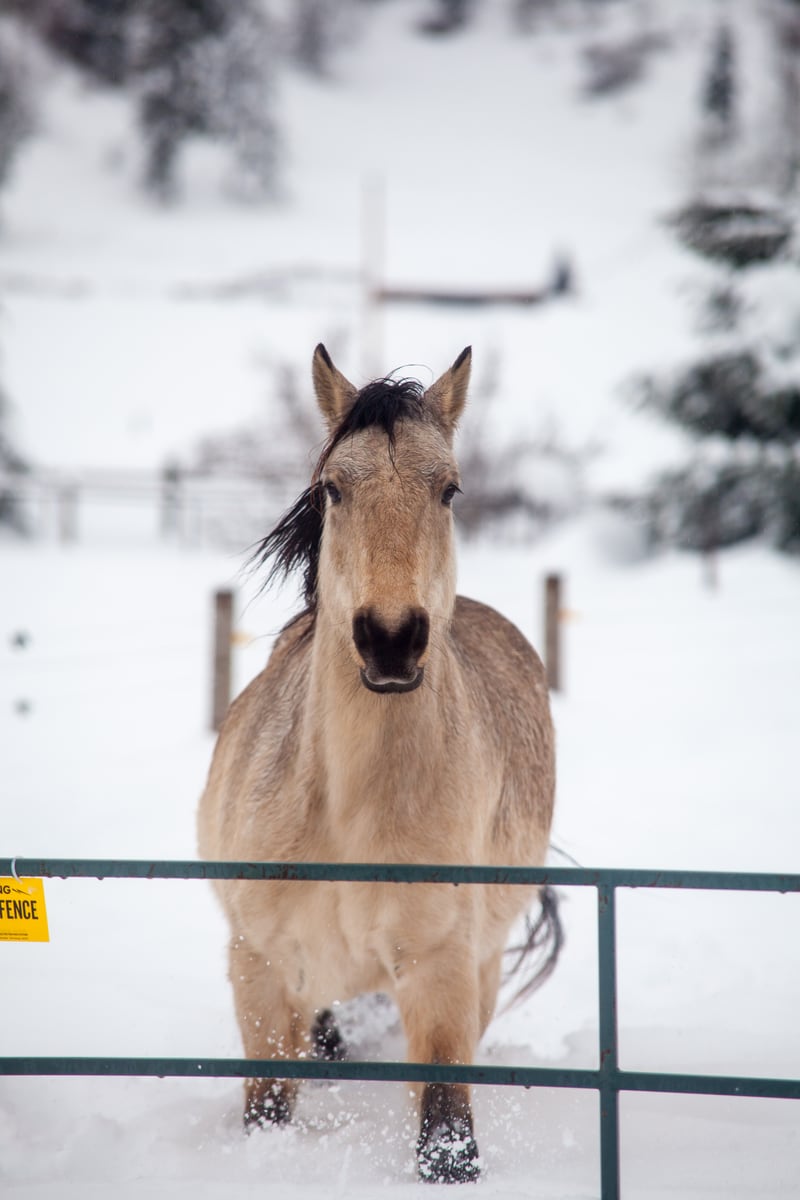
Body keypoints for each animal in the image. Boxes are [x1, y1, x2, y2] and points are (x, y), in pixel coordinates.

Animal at [197, 344, 559, 1183]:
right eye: (334, 488)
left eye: (449, 489)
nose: (391, 639)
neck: (345, 815)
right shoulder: (261, 970)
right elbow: (268, 1107)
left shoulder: (442, 973)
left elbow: (445, 1133)